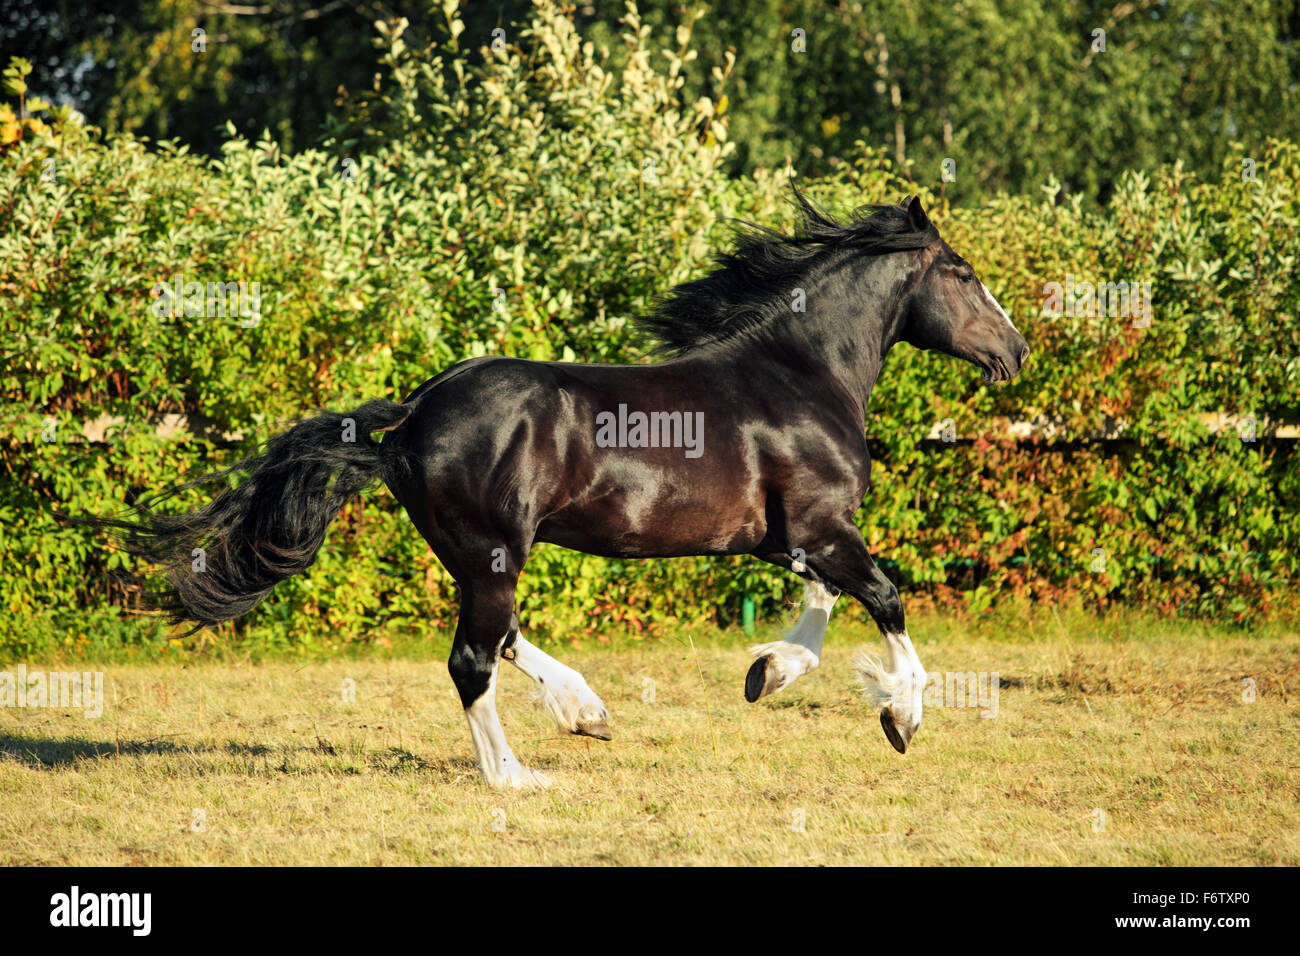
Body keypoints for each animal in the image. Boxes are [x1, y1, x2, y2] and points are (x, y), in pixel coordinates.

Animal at [98, 192, 1024, 785]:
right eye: (963, 271)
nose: (1014, 351)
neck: (800, 375)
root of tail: (414, 413)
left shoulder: (788, 538)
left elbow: (827, 606)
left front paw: (769, 672)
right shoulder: (823, 528)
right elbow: (887, 599)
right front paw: (901, 719)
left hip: (478, 555)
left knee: (502, 640)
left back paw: (586, 711)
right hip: (493, 549)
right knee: (473, 658)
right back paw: (517, 777)